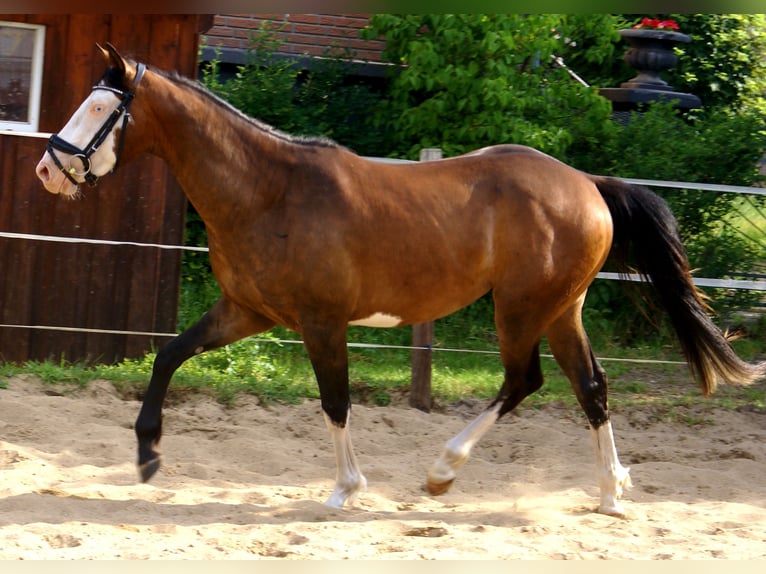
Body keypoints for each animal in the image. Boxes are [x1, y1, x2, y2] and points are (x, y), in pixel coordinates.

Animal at [36, 44, 764, 517]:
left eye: (100, 108)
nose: (47, 170)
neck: (268, 192)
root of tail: (587, 183)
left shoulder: (320, 321)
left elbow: (335, 402)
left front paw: (345, 489)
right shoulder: (247, 310)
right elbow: (169, 354)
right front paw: (147, 455)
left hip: (520, 308)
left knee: (524, 380)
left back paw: (443, 473)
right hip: (563, 308)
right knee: (591, 387)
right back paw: (610, 494)